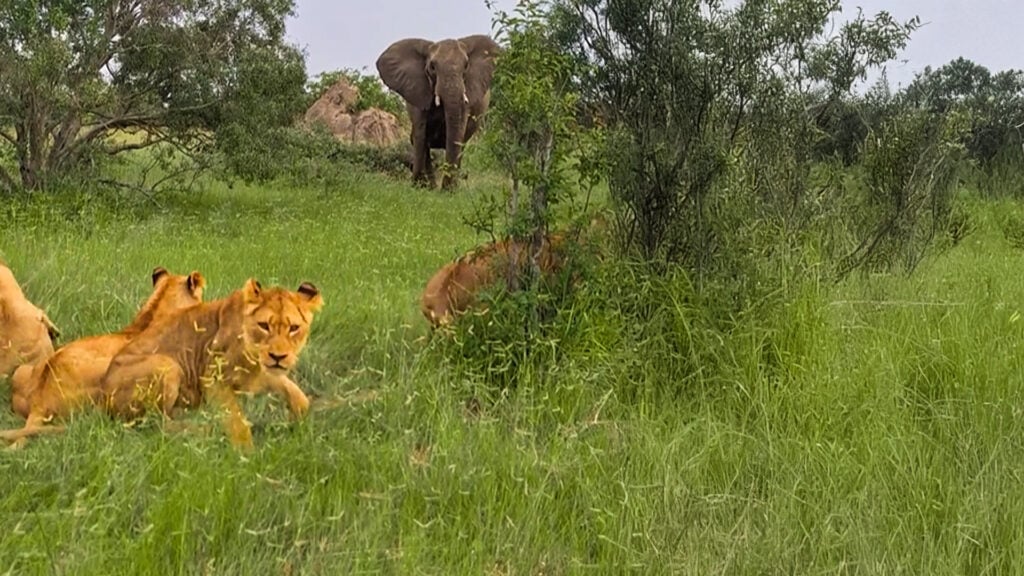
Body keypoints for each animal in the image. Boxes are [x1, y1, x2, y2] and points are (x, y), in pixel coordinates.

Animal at [101, 278, 323, 449]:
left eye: (294, 328)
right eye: (264, 325)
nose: (278, 357)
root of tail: (104, 393)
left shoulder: (263, 374)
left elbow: (300, 399)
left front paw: (298, 424)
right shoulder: (213, 379)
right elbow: (236, 422)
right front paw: (246, 455)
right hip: (167, 365)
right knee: (154, 423)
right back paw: (202, 428)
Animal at [376, 35, 500, 190]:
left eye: (466, 66)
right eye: (432, 67)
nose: (414, 181)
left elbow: (457, 133)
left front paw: (448, 190)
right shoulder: (418, 91)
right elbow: (420, 133)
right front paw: (421, 186)